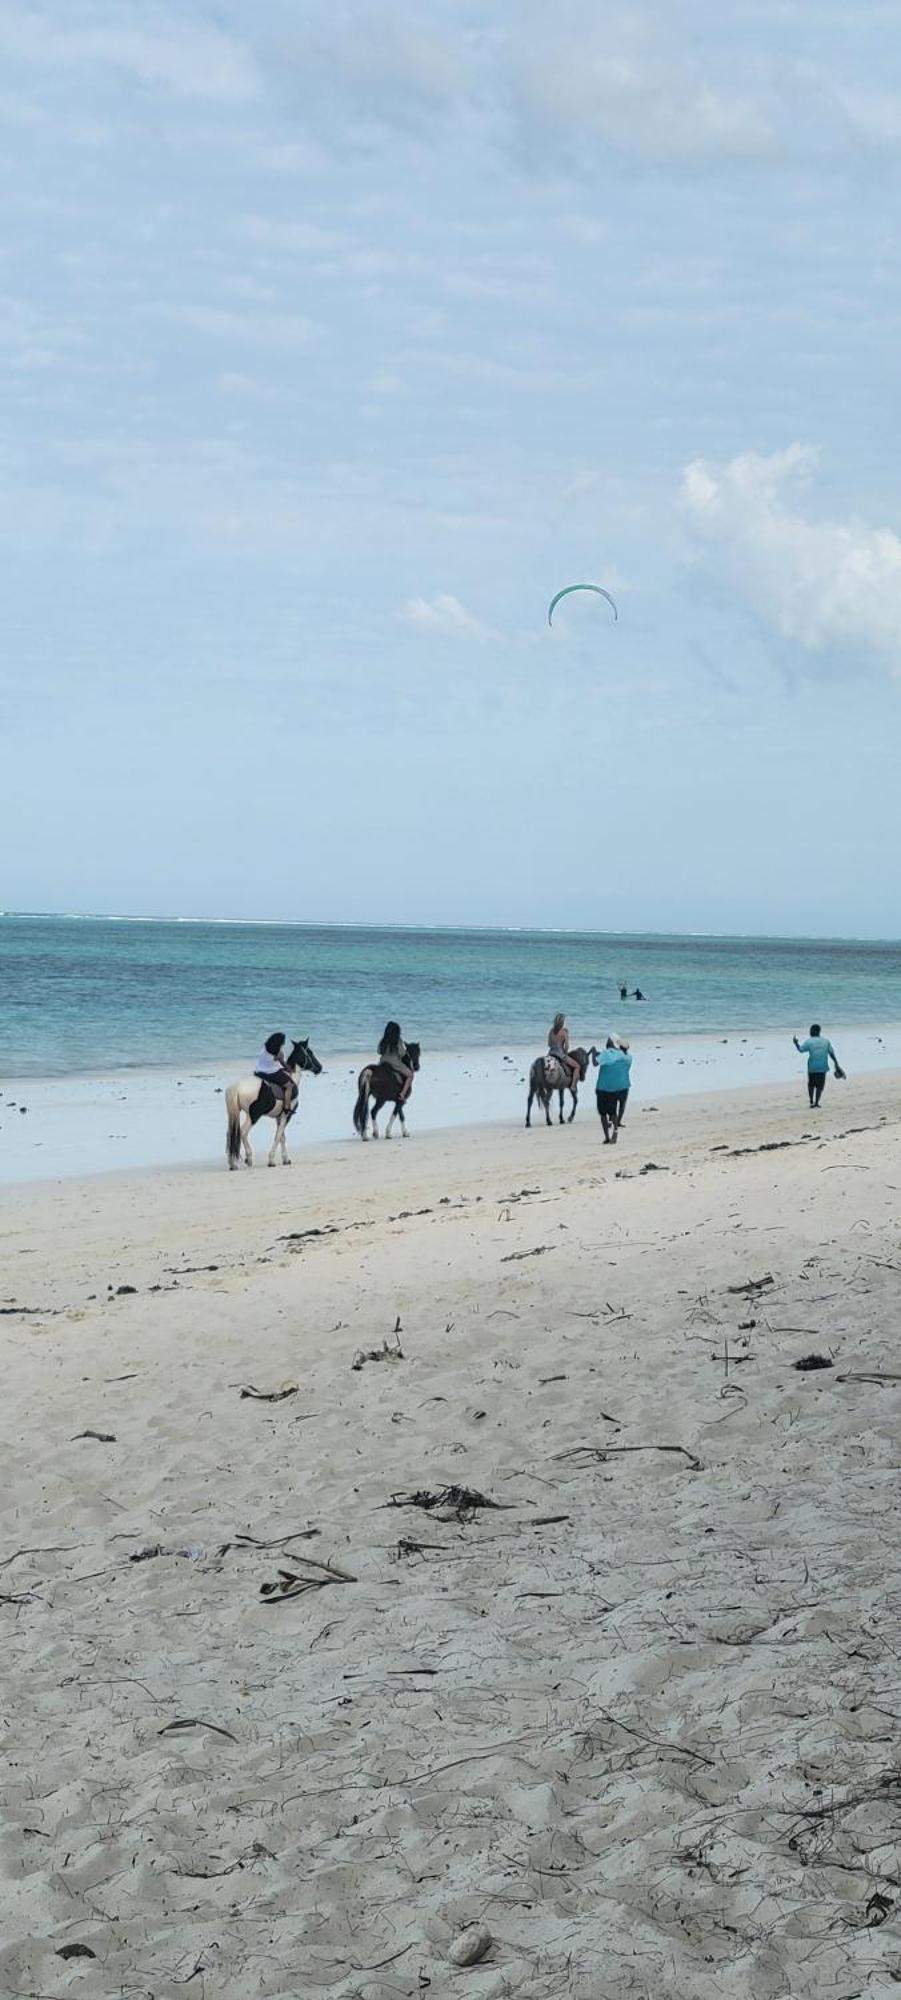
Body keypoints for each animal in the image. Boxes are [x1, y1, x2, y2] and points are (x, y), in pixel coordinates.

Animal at [227, 1032, 322, 1168]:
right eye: (310, 1052)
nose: (319, 1068)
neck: (292, 1077)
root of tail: (237, 1087)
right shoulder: (286, 1115)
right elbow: (278, 1136)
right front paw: (271, 1160)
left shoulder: (279, 1116)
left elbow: (282, 1136)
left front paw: (286, 1159)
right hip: (253, 1116)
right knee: (243, 1132)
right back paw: (248, 1158)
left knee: (232, 1135)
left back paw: (232, 1163)